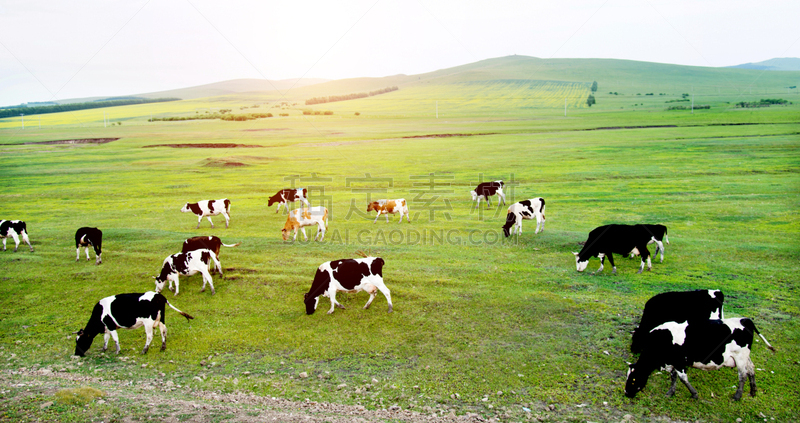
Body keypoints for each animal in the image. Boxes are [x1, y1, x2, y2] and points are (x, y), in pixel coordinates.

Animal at [624, 318, 776, 400]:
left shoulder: (679, 362)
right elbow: (674, 377)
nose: (626, 393)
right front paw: (670, 393)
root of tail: (745, 319)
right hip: (745, 357)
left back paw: (737, 396)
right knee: (751, 369)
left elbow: (682, 378)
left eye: (633, 379)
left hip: (740, 357)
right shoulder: (673, 362)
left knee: (742, 375)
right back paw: (753, 391)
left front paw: (694, 394)